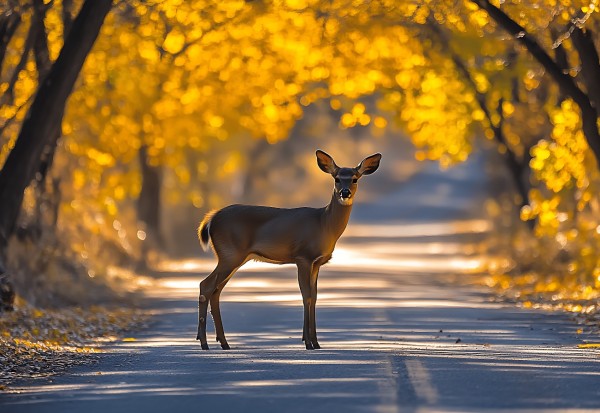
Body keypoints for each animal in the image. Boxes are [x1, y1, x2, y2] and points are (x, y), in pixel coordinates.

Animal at [197, 150, 380, 350]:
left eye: (355, 179)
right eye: (337, 178)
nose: (344, 193)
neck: (324, 224)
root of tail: (212, 218)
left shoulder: (317, 262)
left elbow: (315, 296)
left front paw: (316, 342)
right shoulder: (303, 256)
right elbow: (306, 295)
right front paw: (308, 342)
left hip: (234, 257)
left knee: (216, 291)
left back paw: (223, 342)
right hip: (230, 254)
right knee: (206, 285)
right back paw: (204, 342)